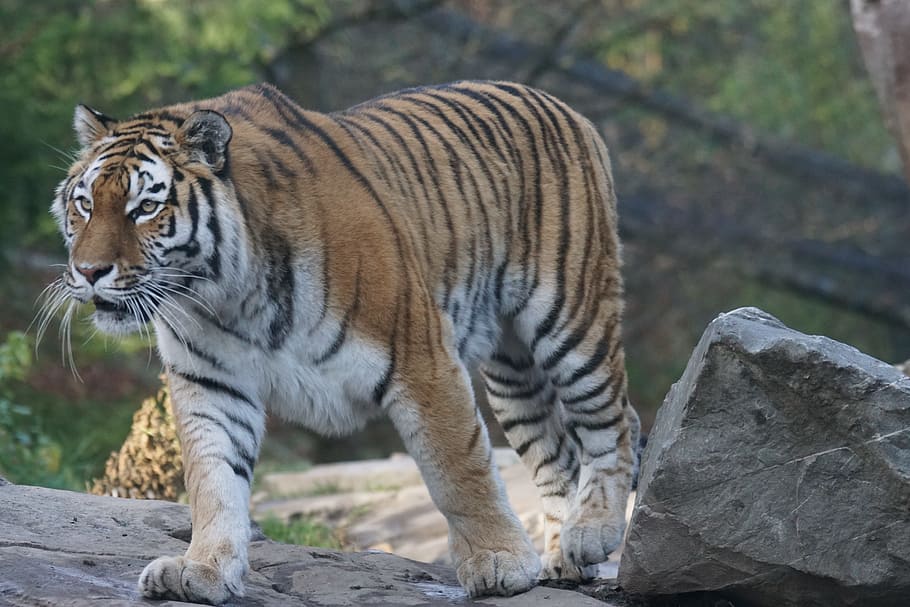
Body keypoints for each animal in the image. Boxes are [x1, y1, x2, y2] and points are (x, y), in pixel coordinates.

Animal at [47, 80, 641, 604]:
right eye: (85, 204)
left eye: (145, 208)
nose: (89, 271)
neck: (224, 291)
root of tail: (563, 106)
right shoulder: (211, 382)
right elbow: (214, 481)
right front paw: (202, 570)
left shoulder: (421, 359)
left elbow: (459, 470)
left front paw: (499, 563)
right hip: (511, 370)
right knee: (557, 451)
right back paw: (563, 559)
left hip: (571, 319)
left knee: (615, 422)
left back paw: (592, 532)